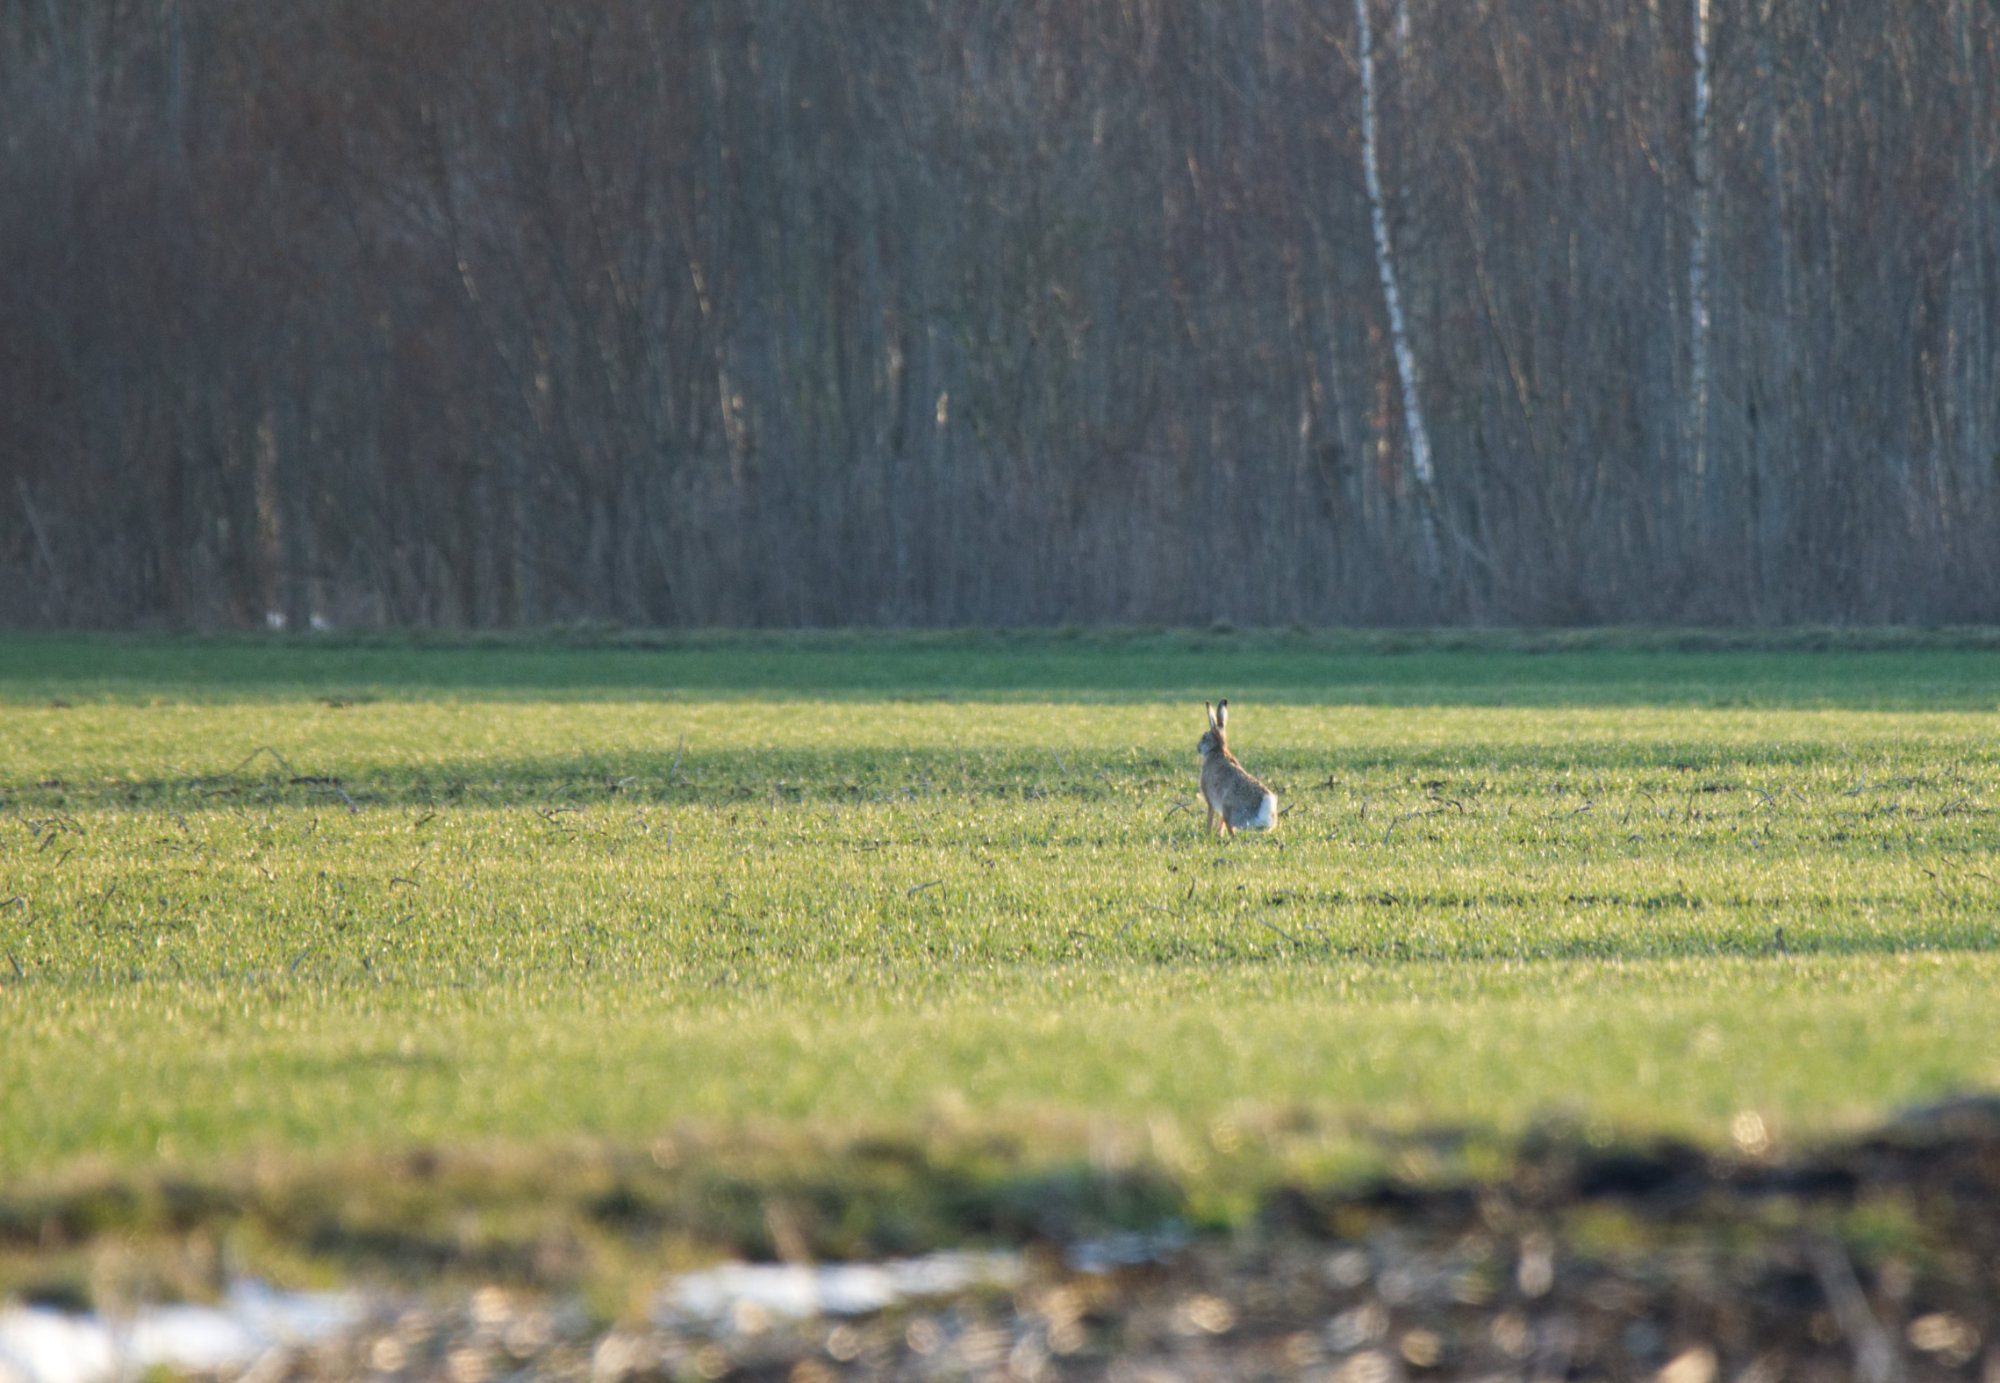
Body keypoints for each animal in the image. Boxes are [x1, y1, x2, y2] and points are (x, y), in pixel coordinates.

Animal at [1197, 699, 1278, 835]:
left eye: (1204, 737)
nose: (1197, 748)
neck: (1217, 749)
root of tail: (1266, 807)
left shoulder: (1210, 799)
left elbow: (1210, 816)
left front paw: (1208, 833)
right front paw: (1218, 834)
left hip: (1229, 808)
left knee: (1230, 828)